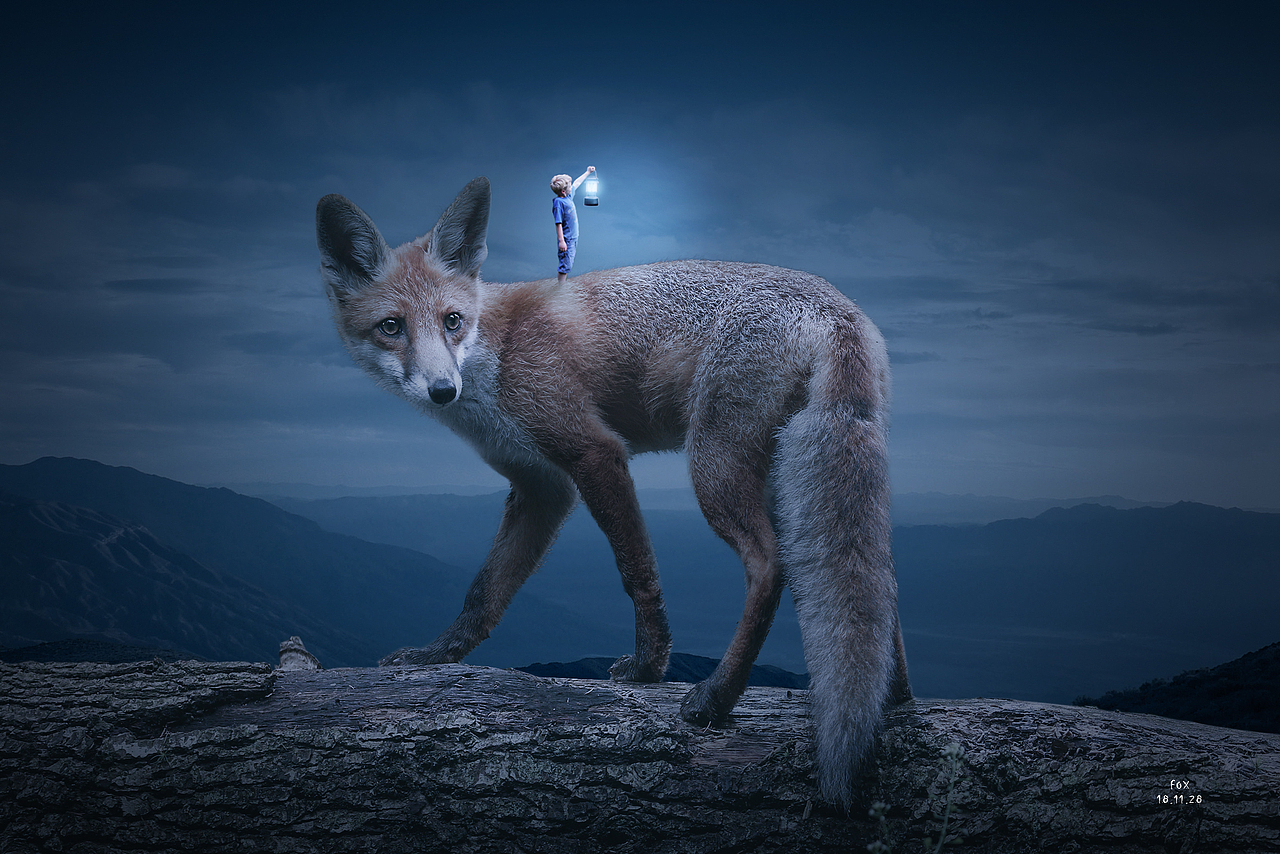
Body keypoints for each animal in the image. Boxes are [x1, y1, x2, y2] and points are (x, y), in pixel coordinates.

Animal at [316, 177, 911, 810]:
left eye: (452, 320)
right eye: (391, 327)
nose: (441, 390)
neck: (493, 353)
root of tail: (836, 306)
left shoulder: (593, 452)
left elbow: (636, 571)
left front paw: (650, 666)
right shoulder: (540, 486)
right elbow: (484, 593)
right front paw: (437, 656)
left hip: (715, 466)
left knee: (771, 566)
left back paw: (717, 698)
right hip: (787, 479)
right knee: (877, 581)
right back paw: (893, 699)